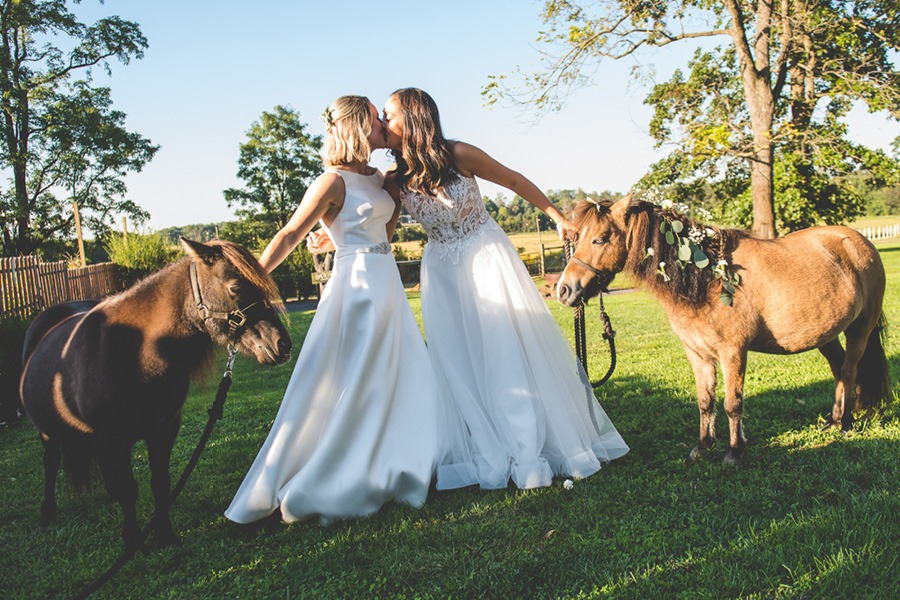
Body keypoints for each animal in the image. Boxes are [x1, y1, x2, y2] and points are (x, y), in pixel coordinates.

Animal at [19, 238, 290, 548]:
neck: (137, 353)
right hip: (48, 433)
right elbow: (127, 489)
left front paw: (164, 534)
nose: (282, 344)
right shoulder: (111, 439)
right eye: (236, 288)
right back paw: (47, 515)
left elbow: (160, 483)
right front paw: (133, 540)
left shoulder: (163, 430)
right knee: (51, 464)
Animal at [560, 197, 888, 464]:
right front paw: (702, 446)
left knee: (849, 370)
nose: (565, 290)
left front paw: (734, 451)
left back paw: (845, 424)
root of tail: (859, 242)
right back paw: (833, 420)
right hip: (825, 334)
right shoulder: (697, 353)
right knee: (838, 369)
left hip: (860, 329)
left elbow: (733, 403)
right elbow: (706, 401)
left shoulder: (733, 352)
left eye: (600, 239)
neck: (707, 279)